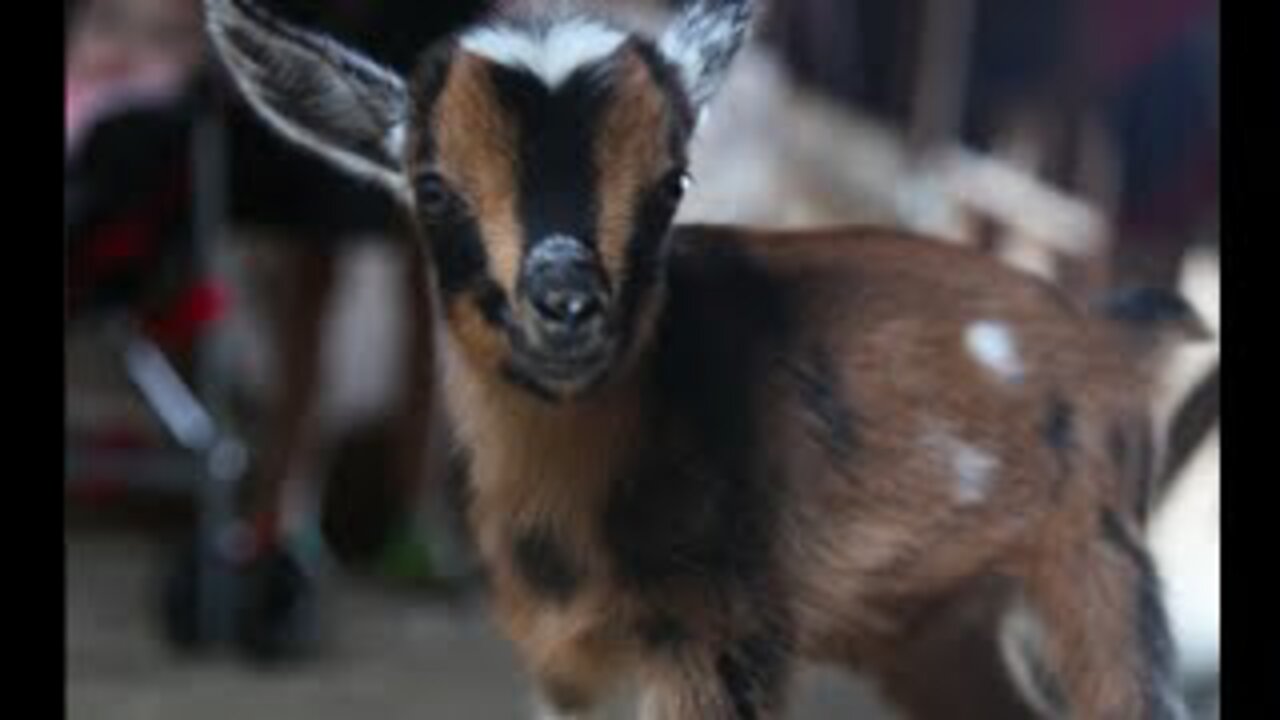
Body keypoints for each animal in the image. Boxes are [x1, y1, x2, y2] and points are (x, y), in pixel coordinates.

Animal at [204, 0, 1203, 712]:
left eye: (673, 180)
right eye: (432, 188)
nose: (568, 305)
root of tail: (1113, 333)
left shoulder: (720, 635)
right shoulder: (561, 658)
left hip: (1095, 561)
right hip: (938, 625)